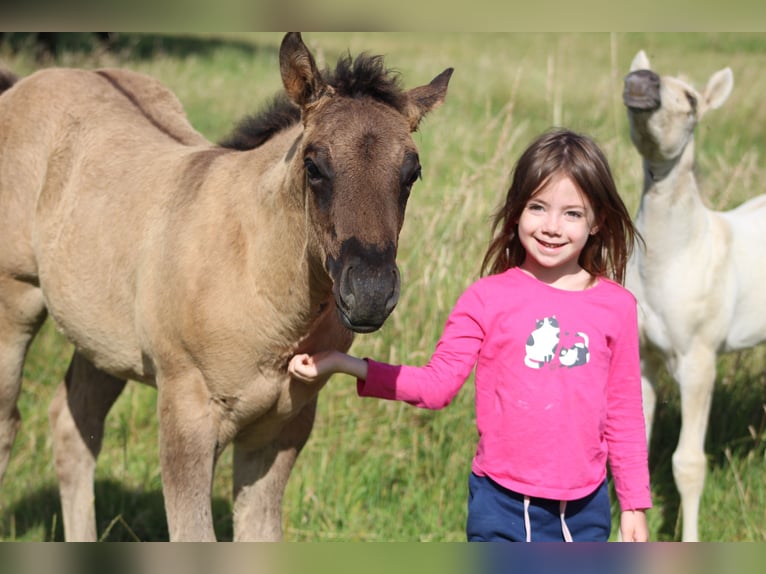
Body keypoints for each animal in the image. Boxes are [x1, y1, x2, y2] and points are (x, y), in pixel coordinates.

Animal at [0, 32, 453, 541]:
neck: (253, 273)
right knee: (9, 423)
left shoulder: (280, 430)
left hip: (102, 338)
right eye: (314, 166)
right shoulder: (187, 416)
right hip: (14, 302)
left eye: (411, 173)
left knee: (73, 425)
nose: (370, 293)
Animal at [623, 50, 766, 541]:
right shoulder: (642, 358)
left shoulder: (700, 360)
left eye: (690, 101)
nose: (640, 82)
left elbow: (688, 465)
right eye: (633, 78)